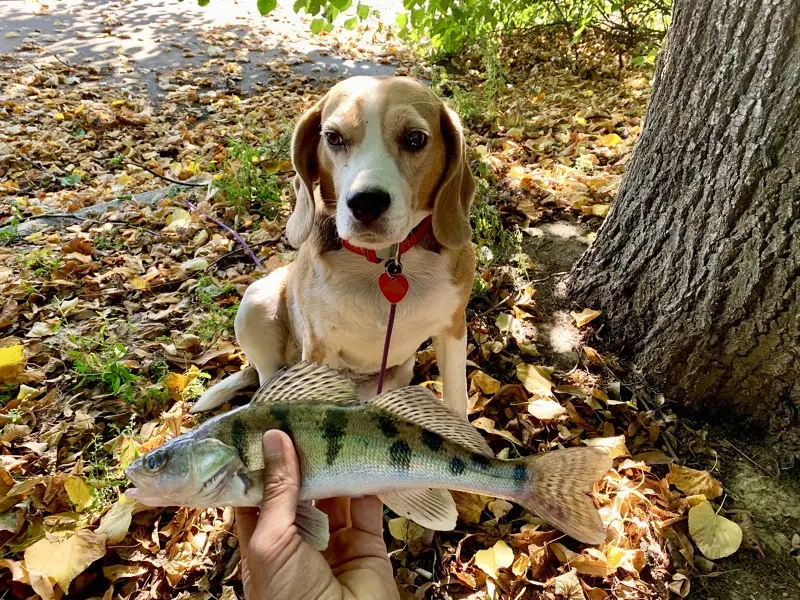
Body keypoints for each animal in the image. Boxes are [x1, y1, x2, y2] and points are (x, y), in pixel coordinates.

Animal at [191, 76, 478, 412]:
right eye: (333, 137)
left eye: (415, 139)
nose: (366, 202)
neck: (386, 263)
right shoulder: (319, 345)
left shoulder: (453, 330)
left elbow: (456, 400)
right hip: (255, 301)